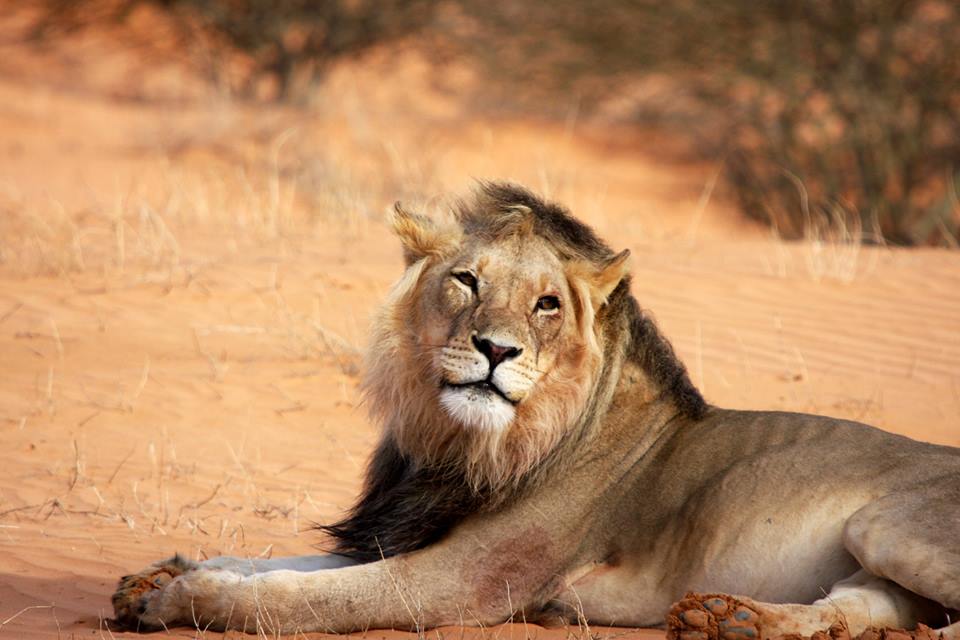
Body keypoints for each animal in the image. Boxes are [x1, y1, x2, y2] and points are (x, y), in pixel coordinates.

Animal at [112, 182, 960, 639]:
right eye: (465, 281)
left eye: (547, 304)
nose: (495, 349)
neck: (461, 446)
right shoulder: (403, 534)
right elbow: (278, 563)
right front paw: (159, 573)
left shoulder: (468, 581)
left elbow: (306, 598)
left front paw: (183, 597)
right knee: (872, 606)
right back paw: (730, 619)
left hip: (886, 527)